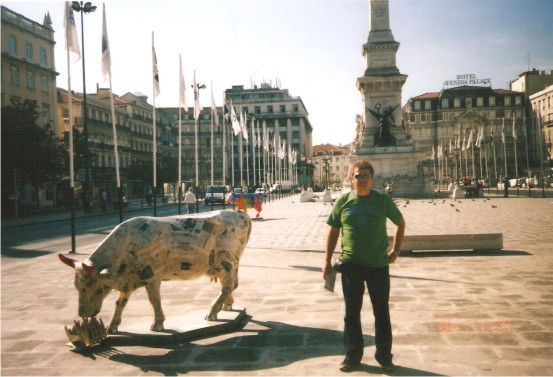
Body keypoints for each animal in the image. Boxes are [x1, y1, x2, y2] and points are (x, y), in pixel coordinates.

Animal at [59, 209, 251, 334]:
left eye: (94, 287)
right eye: (77, 287)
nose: (83, 314)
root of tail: (242, 215)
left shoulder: (151, 275)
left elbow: (154, 300)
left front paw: (158, 324)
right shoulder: (129, 280)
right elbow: (120, 303)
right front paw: (112, 327)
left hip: (227, 261)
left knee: (228, 285)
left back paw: (212, 312)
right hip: (225, 265)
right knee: (230, 284)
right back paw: (226, 306)